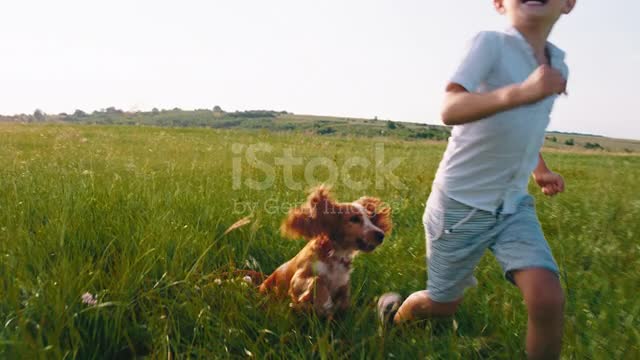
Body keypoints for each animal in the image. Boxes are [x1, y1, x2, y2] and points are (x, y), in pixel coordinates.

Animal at [258, 187, 390, 316]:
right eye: (354, 219)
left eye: (371, 218)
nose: (381, 235)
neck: (335, 256)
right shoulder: (297, 279)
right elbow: (318, 281)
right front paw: (323, 304)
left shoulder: (343, 283)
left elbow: (345, 298)